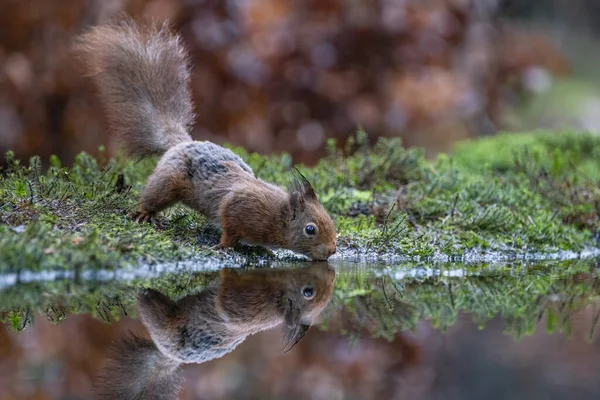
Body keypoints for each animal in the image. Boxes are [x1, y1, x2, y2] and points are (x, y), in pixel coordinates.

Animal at [72, 18, 336, 260]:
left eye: (331, 221)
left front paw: (262, 249)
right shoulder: (238, 207)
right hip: (168, 181)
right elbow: (229, 228)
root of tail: (182, 142)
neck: (277, 216)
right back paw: (146, 213)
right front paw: (225, 246)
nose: (332, 250)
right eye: (310, 229)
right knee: (153, 196)